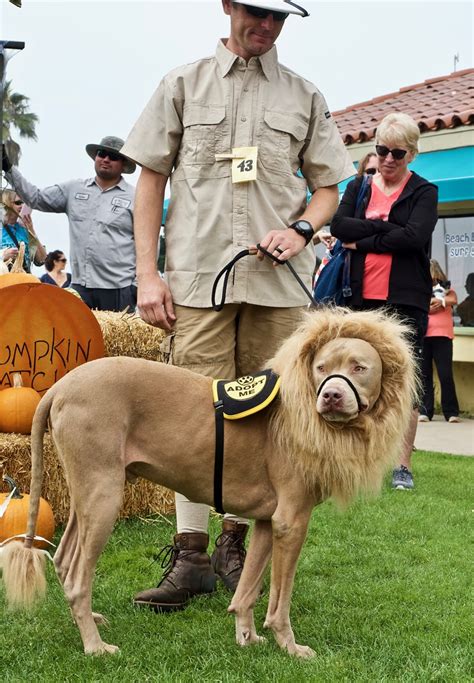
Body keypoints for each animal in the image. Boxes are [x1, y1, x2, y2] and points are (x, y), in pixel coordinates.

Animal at [1, 308, 416, 656]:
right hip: (103, 495)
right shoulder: (292, 522)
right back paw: (95, 645)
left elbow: (248, 589)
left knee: (63, 558)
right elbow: (279, 599)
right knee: (76, 576)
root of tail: (62, 386)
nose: (330, 395)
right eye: (320, 367)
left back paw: (89, 620)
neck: (298, 412)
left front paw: (247, 637)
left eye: (359, 367)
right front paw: (290, 646)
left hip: (86, 494)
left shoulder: (267, 523)